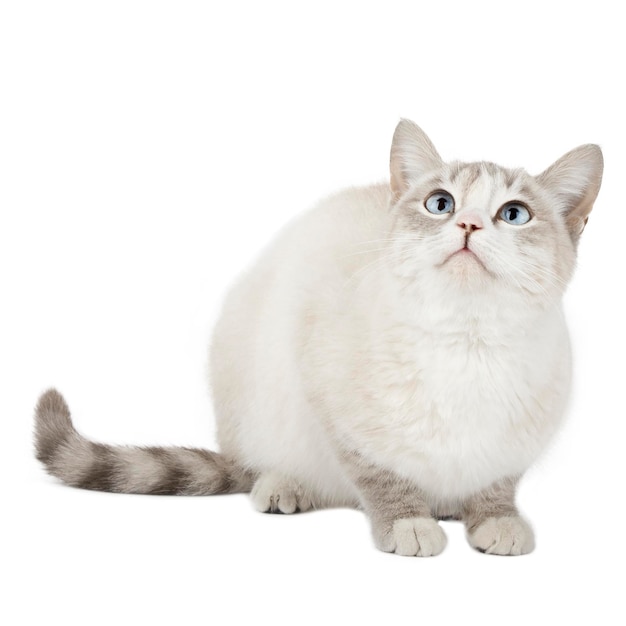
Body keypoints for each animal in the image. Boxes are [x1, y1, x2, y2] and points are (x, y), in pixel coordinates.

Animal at [34, 119, 600, 552]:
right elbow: (381, 477)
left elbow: (496, 485)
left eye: (514, 214)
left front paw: (496, 520)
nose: (468, 225)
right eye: (440, 204)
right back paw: (284, 487)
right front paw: (408, 523)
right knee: (256, 466)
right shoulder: (335, 407)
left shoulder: (515, 445)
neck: (466, 341)